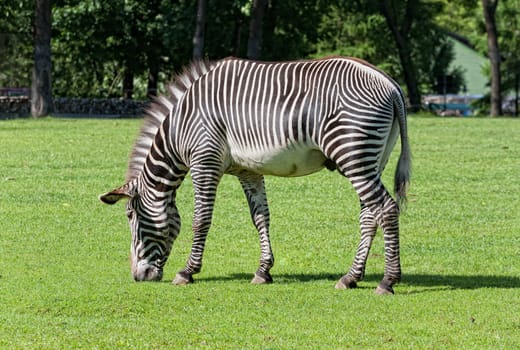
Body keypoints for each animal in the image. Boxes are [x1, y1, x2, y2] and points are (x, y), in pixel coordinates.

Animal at [100, 55, 410, 296]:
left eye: (130, 215)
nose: (138, 277)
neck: (180, 126)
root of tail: (390, 84)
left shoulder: (204, 162)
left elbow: (201, 220)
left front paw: (187, 272)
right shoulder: (247, 170)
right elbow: (260, 217)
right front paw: (263, 270)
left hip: (353, 154)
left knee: (386, 208)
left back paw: (387, 281)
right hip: (372, 159)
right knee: (369, 214)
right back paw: (351, 277)